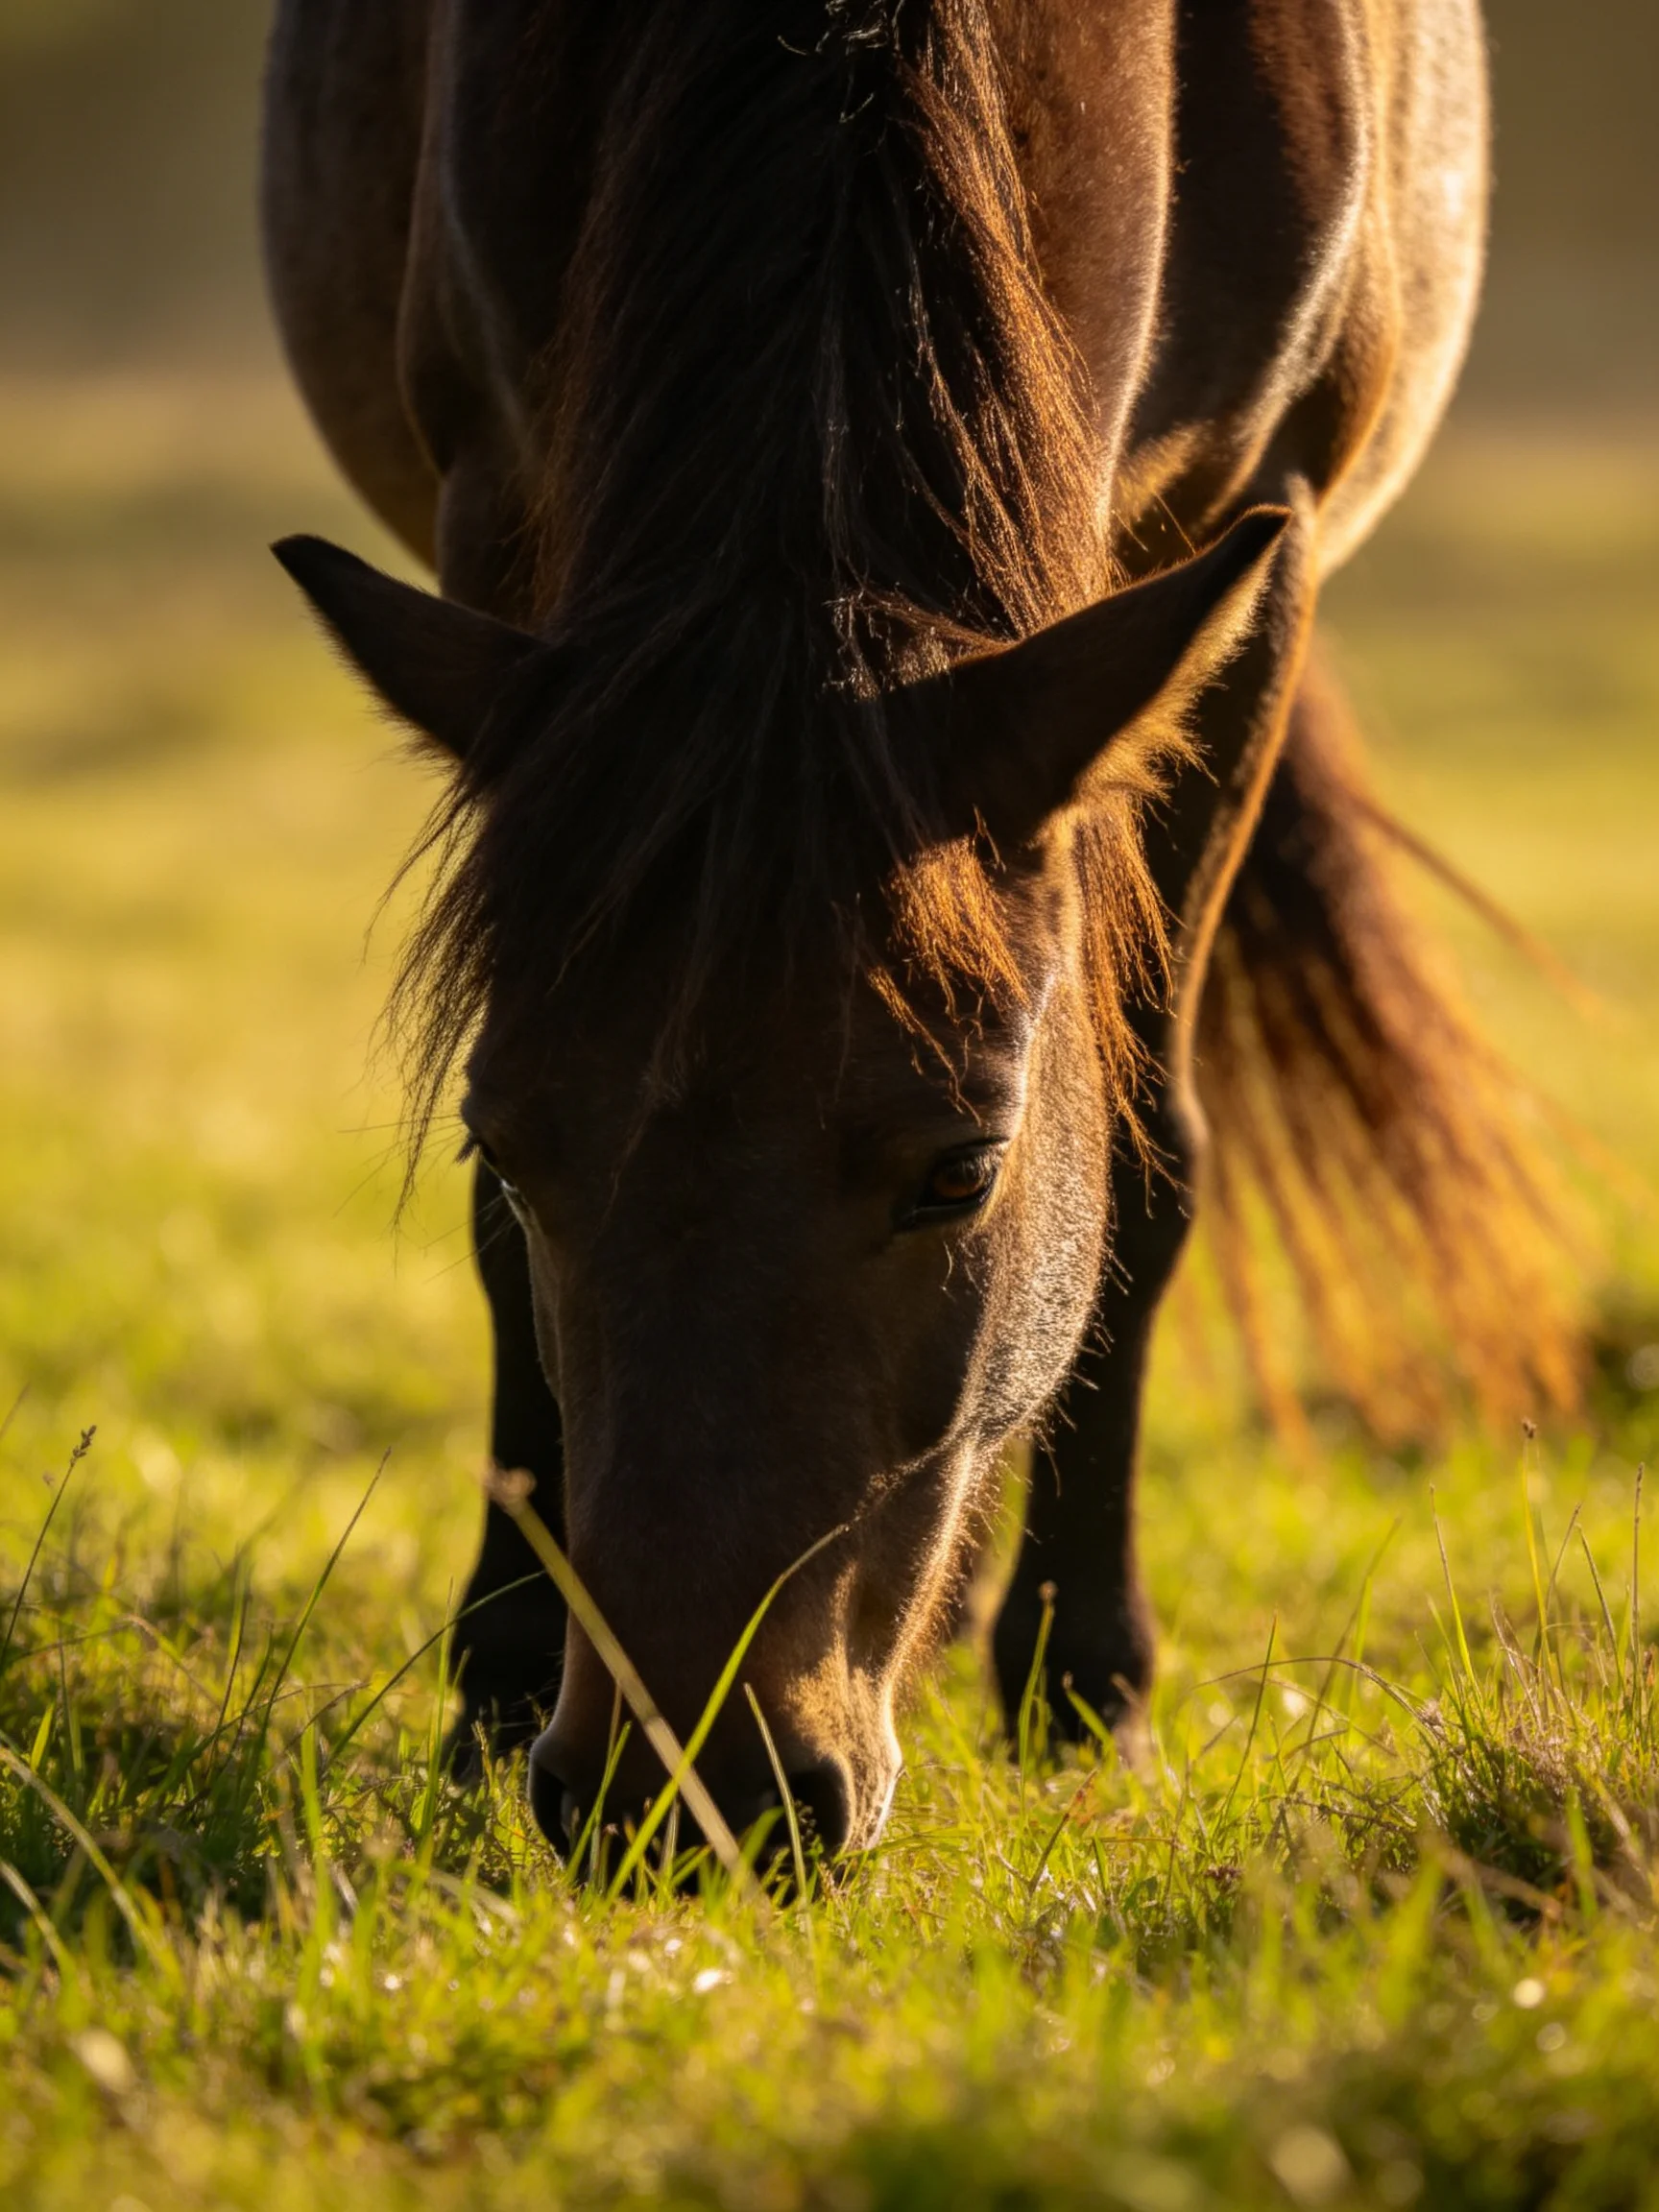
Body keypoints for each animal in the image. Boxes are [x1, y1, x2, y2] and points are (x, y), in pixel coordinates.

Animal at [261, 0, 1574, 1865]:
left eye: (960, 1170)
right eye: (509, 1145)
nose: (686, 1801)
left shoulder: (1251, 539)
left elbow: (1146, 1159)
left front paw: (1088, 1688)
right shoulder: (504, 502)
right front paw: (498, 1684)